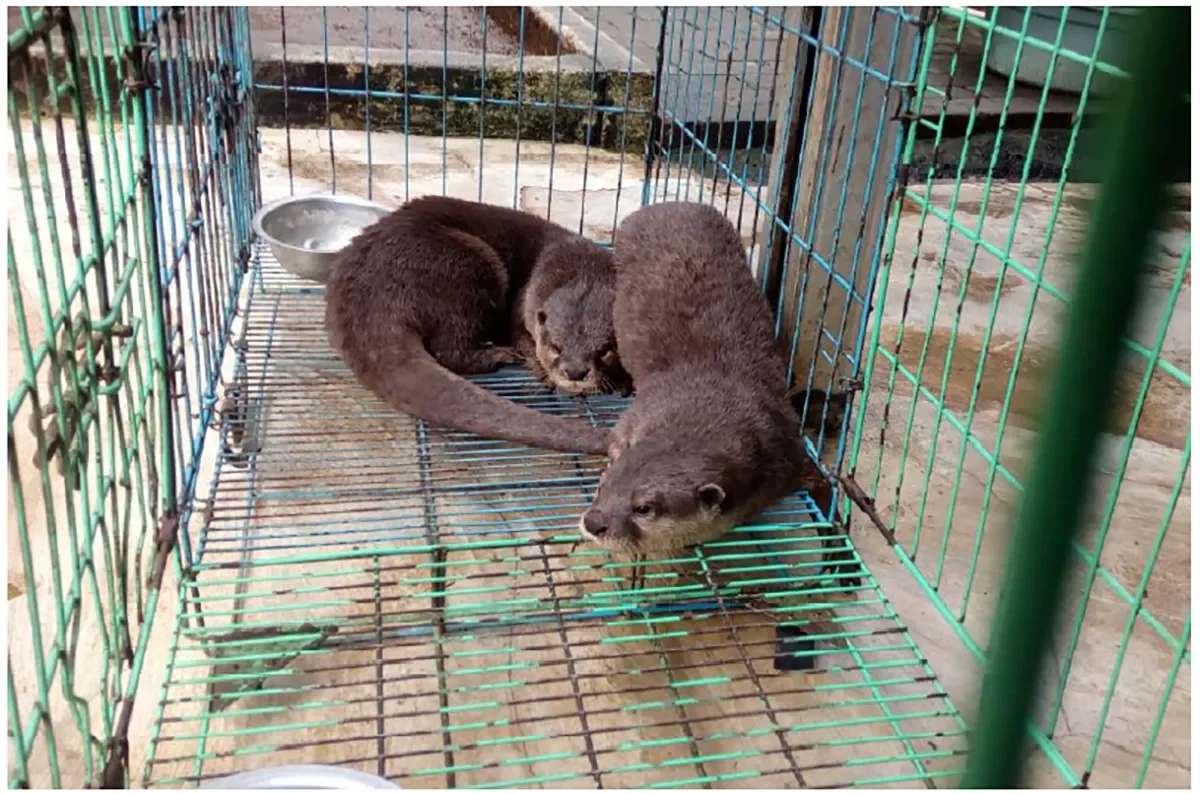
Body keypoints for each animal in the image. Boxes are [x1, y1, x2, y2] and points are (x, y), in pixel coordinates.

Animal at [328, 196, 624, 458]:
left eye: (605, 350)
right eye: (555, 346)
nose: (575, 372)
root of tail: (372, 292)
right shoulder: (523, 301)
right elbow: (522, 337)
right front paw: (542, 372)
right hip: (471, 266)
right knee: (451, 349)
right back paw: (499, 354)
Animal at [573, 202, 820, 556]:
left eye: (644, 507)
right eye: (601, 487)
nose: (593, 522)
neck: (714, 400)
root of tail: (665, 205)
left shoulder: (787, 448)